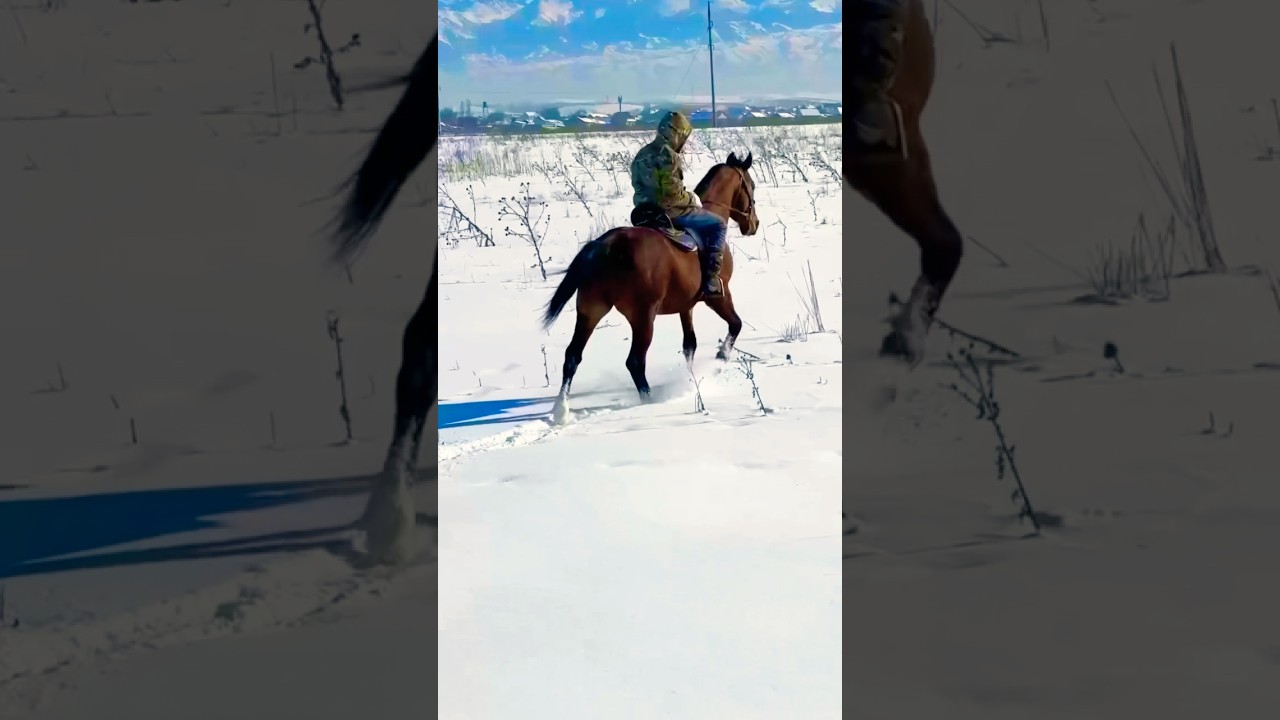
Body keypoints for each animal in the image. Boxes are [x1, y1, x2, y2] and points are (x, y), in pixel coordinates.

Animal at [540, 153, 760, 425]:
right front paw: (720, 359)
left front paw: (692, 379)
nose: (754, 224)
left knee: (572, 356)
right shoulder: (718, 296)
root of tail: (606, 246)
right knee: (635, 361)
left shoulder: (685, 305)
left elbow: (690, 345)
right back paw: (648, 401)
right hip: (643, 316)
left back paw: (561, 410)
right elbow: (735, 324)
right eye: (751, 185)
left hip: (590, 310)